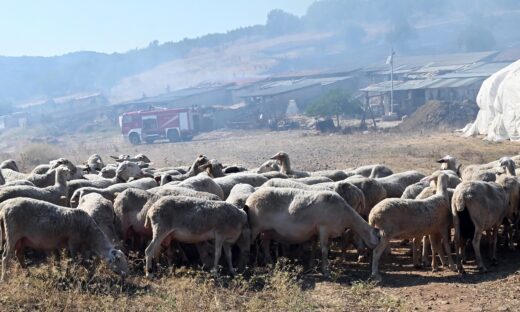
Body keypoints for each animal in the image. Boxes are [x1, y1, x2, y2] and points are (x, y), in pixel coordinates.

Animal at [0, 199, 129, 282]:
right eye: (118, 260)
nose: (126, 275)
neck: (89, 233)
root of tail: (4, 208)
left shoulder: (75, 246)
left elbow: (77, 261)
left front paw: (88, 274)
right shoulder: (73, 241)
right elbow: (74, 261)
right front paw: (72, 276)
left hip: (22, 239)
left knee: (19, 254)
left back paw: (27, 273)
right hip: (12, 234)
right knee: (6, 257)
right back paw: (5, 278)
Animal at [244, 186, 378, 274]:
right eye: (378, 238)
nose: (368, 255)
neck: (345, 215)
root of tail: (250, 199)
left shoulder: (316, 231)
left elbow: (314, 247)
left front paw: (312, 264)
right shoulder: (324, 227)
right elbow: (324, 249)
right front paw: (325, 270)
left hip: (267, 230)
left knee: (265, 245)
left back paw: (270, 263)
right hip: (255, 226)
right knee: (250, 244)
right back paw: (249, 266)